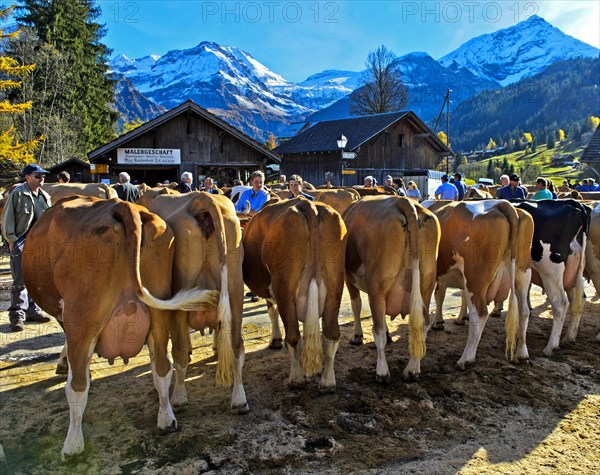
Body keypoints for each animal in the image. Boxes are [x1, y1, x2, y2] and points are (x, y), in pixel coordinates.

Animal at [23, 195, 221, 460]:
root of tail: (123, 206)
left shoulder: (66, 316)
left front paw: (64, 363)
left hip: (83, 316)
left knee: (77, 386)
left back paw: (73, 445)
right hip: (158, 313)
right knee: (162, 367)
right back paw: (166, 419)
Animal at [148, 192, 248, 414]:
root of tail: (202, 198)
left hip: (181, 294)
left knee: (179, 350)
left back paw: (179, 398)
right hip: (235, 286)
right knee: (237, 344)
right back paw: (239, 399)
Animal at [243, 199, 346, 392]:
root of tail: (309, 205)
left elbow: (272, 312)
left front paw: (275, 340)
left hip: (285, 290)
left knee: (293, 337)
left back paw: (296, 378)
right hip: (335, 288)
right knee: (331, 335)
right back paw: (327, 382)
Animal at [342, 197, 440, 384]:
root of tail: (404, 201)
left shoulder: (349, 277)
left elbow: (356, 305)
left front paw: (357, 336)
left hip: (377, 284)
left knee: (377, 329)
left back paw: (382, 372)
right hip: (426, 284)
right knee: (422, 324)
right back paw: (412, 369)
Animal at [422, 199, 528, 370]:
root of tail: (501, 203)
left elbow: (439, 295)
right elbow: (443, 295)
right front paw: (446, 320)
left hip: (475, 277)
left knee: (480, 313)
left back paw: (466, 359)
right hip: (522, 272)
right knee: (524, 311)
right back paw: (522, 353)